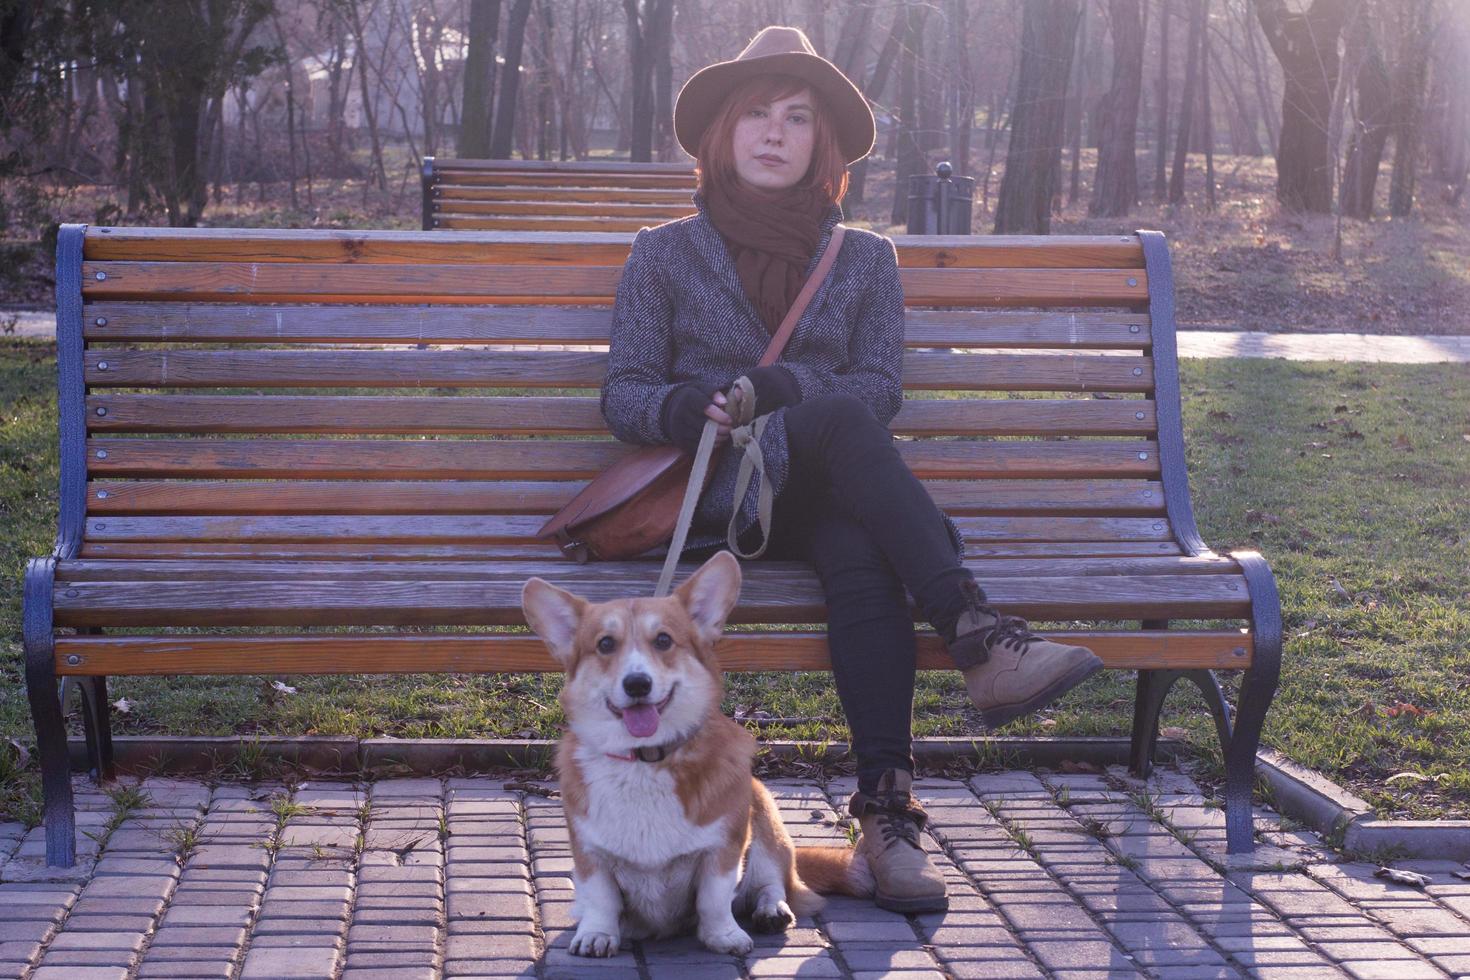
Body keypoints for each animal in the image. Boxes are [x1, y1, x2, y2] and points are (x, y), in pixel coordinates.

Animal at [520, 552, 870, 957]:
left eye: (663, 640)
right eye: (605, 644)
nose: (637, 684)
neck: (645, 761)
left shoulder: (724, 849)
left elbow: (713, 900)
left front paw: (723, 936)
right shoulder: (589, 852)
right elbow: (601, 898)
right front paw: (598, 934)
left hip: (763, 815)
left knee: (774, 882)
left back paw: (771, 910)